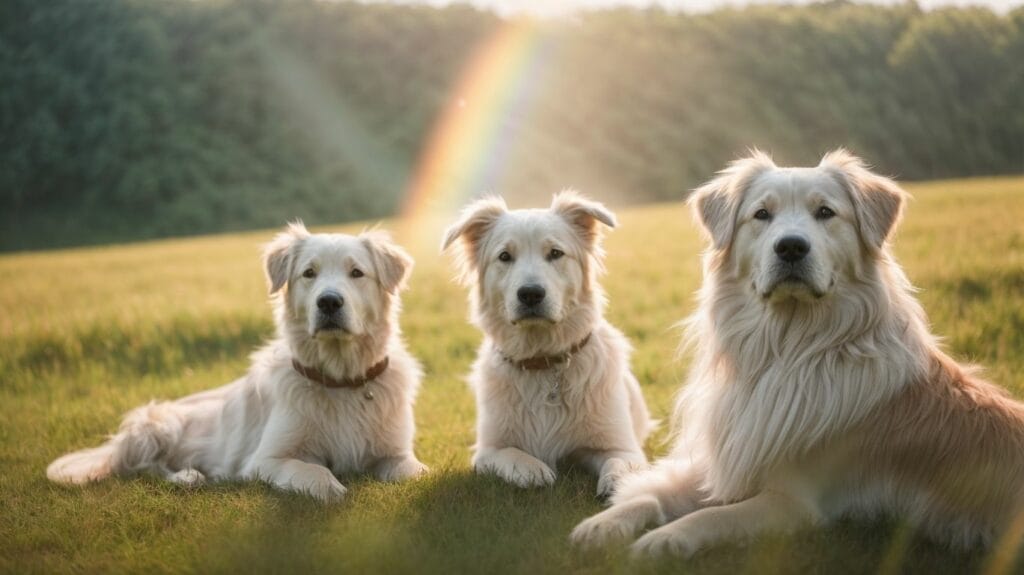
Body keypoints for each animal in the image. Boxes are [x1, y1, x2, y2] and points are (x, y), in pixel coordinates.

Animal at [48, 222, 428, 499]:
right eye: (309, 273)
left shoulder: (396, 454)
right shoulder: (266, 459)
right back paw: (189, 476)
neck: (340, 379)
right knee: (145, 469)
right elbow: (313, 470)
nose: (329, 302)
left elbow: (417, 472)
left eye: (356, 273)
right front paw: (331, 487)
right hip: (158, 423)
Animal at [442, 190, 651, 495]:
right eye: (505, 256)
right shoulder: (488, 451)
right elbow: (514, 456)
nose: (530, 294)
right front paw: (535, 470)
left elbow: (619, 463)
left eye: (555, 253)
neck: (541, 361)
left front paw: (622, 485)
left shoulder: (620, 446)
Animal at [573, 150, 1024, 552]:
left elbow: (712, 515)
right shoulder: (734, 459)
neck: (789, 347)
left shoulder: (794, 502)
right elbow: (654, 494)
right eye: (761, 214)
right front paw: (604, 525)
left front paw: (664, 540)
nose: (791, 247)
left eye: (825, 212)